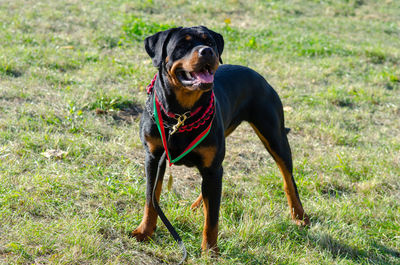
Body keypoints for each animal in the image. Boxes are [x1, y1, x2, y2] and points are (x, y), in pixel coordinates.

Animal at [132, 25, 310, 253]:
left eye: (209, 42)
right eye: (182, 44)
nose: (207, 51)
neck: (181, 114)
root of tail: (259, 76)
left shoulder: (211, 167)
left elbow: (212, 218)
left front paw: (210, 251)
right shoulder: (153, 157)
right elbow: (150, 198)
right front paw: (144, 231)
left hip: (274, 135)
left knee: (288, 179)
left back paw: (300, 216)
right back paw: (198, 204)